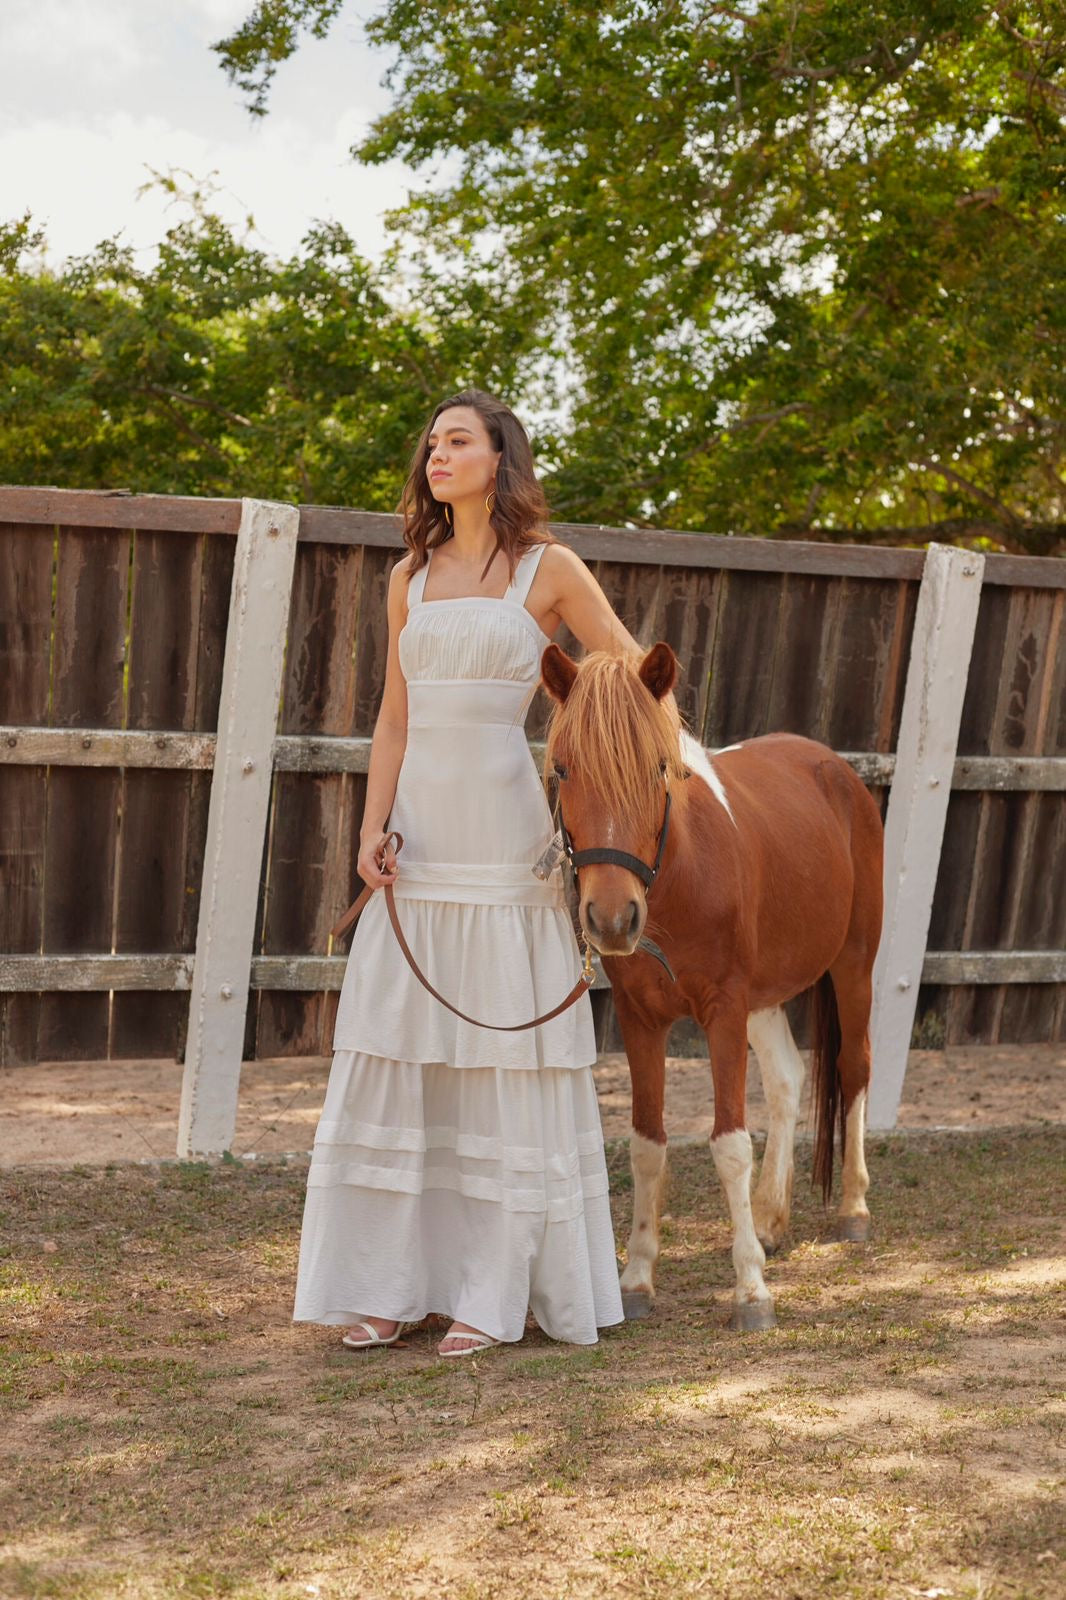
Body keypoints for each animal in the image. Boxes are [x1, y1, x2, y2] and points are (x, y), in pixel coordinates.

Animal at [541, 643, 877, 1331]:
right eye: (563, 769)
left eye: (657, 768)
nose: (611, 918)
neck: (679, 879)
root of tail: (838, 770)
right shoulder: (643, 1019)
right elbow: (647, 1146)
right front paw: (637, 1277)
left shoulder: (724, 1010)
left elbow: (728, 1146)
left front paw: (751, 1290)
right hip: (766, 997)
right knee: (787, 1079)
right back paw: (771, 1217)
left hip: (853, 963)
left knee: (853, 1068)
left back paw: (853, 1208)